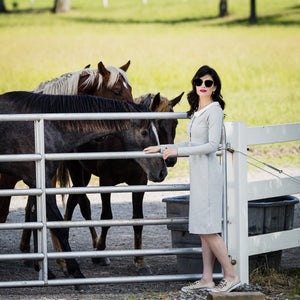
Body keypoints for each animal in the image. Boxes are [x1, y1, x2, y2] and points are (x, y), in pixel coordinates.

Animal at [0, 91, 166, 282]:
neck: (45, 127)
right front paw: (75, 271)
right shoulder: (42, 181)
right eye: (144, 132)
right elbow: (59, 224)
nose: (162, 171)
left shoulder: (38, 182)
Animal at [60, 91, 183, 274]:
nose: (171, 160)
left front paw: (140, 261)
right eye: (157, 124)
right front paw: (100, 252)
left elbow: (138, 220)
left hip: (85, 172)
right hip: (75, 168)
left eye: (175, 123)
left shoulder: (139, 184)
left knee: (73, 201)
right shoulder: (105, 182)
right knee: (80, 203)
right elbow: (106, 217)